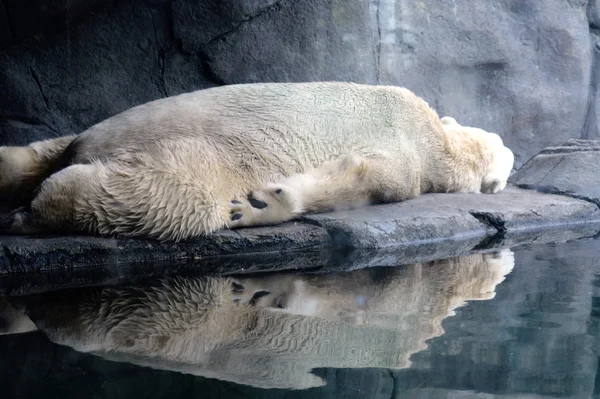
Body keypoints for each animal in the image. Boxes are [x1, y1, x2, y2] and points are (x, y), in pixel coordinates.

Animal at [0, 82, 516, 241]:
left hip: (82, 133)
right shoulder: (405, 150)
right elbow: (367, 178)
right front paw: (263, 203)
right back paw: (37, 209)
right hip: (205, 153)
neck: (438, 139)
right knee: (176, 199)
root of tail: (88, 144)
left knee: (38, 152)